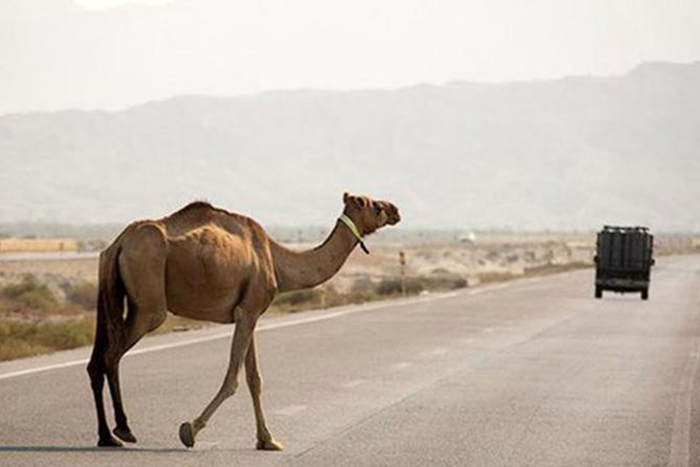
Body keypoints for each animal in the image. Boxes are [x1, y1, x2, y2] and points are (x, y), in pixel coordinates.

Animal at [86, 193, 400, 450]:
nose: (396, 209)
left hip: (112, 292)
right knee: (112, 354)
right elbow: (233, 379)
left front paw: (267, 440)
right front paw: (190, 430)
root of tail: (119, 243)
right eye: (374, 205)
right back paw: (123, 429)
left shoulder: (250, 313)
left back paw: (106, 436)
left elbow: (254, 378)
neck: (276, 259)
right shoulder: (248, 311)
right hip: (148, 300)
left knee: (96, 360)